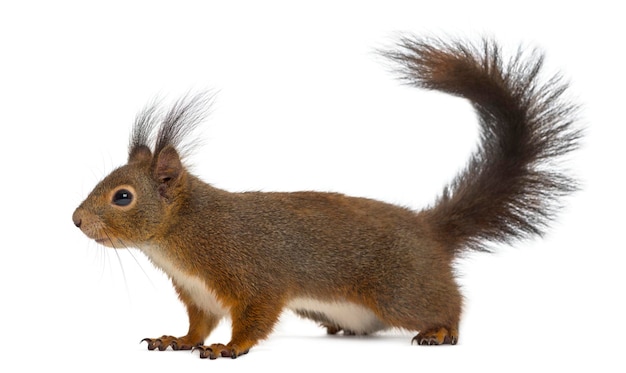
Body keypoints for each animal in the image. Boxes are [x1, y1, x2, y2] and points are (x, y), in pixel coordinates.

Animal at [73, 36, 580, 358]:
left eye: (122, 197)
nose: (76, 220)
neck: (181, 235)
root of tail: (428, 229)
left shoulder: (253, 274)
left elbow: (254, 317)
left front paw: (230, 348)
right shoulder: (199, 295)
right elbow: (197, 324)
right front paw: (176, 341)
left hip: (401, 289)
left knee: (448, 302)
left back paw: (440, 331)